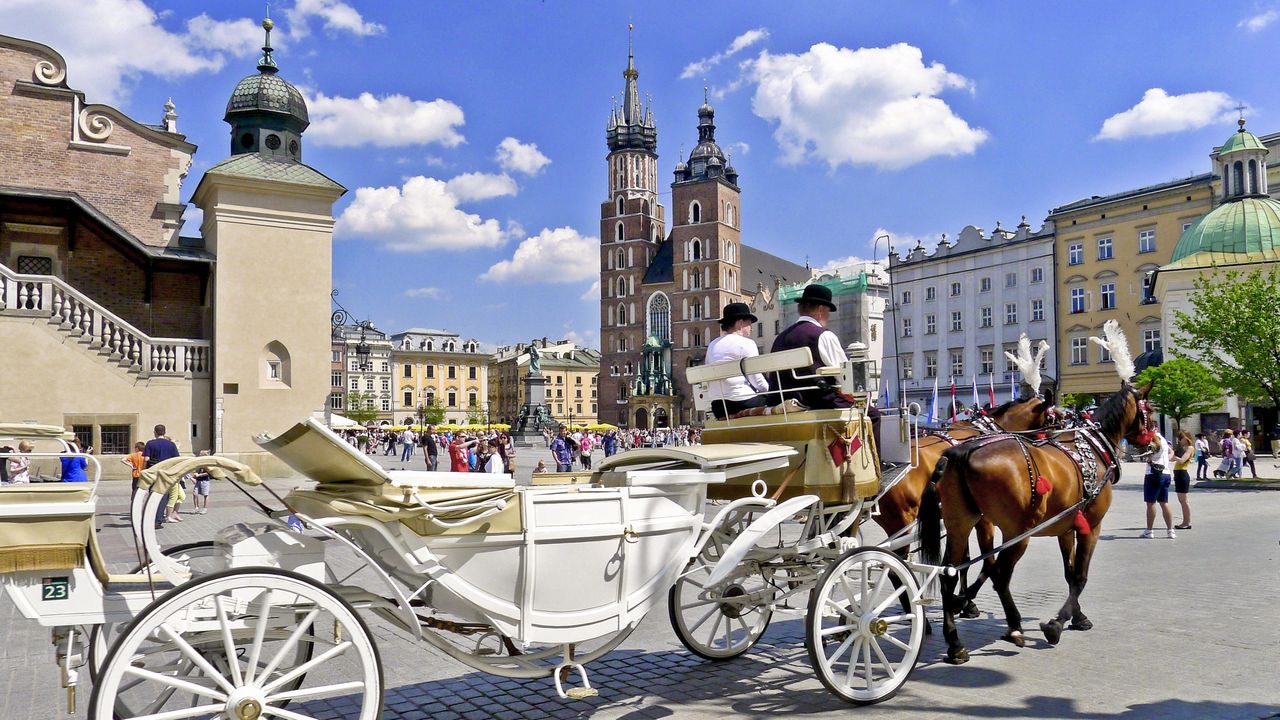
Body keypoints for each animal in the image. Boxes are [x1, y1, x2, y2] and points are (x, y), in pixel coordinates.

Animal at [916, 381, 1157, 661]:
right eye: (1151, 413)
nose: (1154, 443)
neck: (1094, 447)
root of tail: (960, 451)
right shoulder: (1092, 526)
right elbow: (1080, 577)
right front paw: (1057, 624)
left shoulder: (1066, 529)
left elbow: (1069, 573)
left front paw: (1078, 617)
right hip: (1017, 533)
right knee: (999, 575)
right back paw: (1013, 627)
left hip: (959, 525)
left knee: (950, 575)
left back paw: (955, 643)